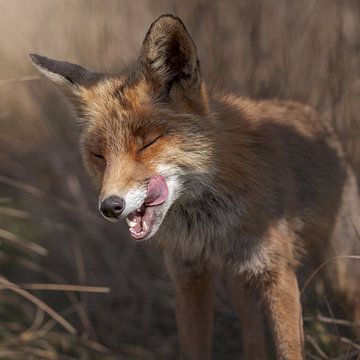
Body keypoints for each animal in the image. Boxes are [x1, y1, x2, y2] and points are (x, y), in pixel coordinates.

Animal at [30, 14, 360, 360]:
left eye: (148, 143)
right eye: (98, 155)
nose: (110, 206)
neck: (209, 227)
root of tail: (313, 114)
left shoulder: (276, 271)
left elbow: (289, 350)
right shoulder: (188, 275)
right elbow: (194, 347)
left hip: (339, 269)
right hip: (240, 282)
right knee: (252, 338)